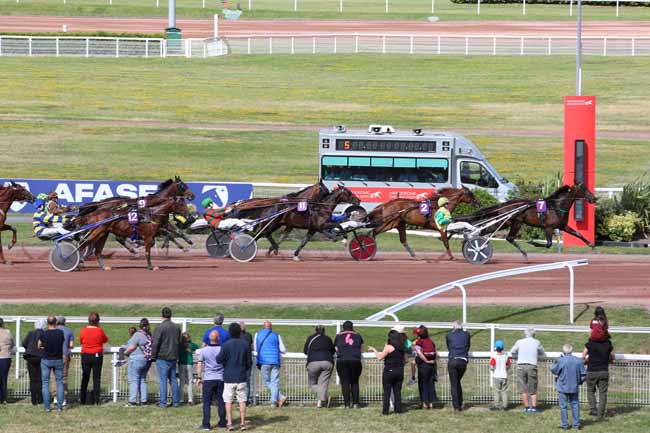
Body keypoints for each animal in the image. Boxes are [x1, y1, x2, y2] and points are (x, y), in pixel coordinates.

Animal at [458, 181, 596, 256]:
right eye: (584, 189)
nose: (594, 198)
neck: (556, 206)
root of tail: (504, 204)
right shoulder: (549, 227)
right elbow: (548, 244)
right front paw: (532, 241)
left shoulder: (562, 226)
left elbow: (578, 233)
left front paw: (591, 244)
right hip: (515, 222)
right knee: (507, 237)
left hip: (506, 223)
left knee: (488, 232)